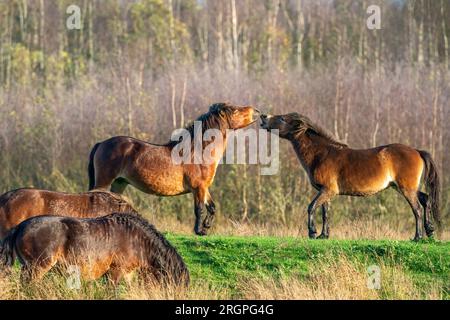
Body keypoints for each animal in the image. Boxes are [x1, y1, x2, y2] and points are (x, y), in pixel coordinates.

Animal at [0, 212, 189, 284]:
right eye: (177, 285)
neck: (136, 238)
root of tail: (20, 226)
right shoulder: (115, 272)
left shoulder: (128, 274)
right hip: (37, 267)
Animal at [88, 102, 260, 235]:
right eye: (235, 110)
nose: (257, 112)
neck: (198, 151)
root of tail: (101, 143)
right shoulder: (198, 188)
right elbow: (199, 209)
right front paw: (198, 230)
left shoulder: (204, 188)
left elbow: (211, 207)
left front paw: (205, 228)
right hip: (105, 181)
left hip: (119, 183)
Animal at [260, 112, 440, 240]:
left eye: (283, 118)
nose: (263, 117)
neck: (322, 154)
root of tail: (417, 151)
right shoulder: (325, 192)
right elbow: (325, 212)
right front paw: (323, 235)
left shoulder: (327, 190)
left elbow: (311, 207)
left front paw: (312, 232)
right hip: (402, 187)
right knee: (426, 199)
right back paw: (430, 231)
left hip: (406, 189)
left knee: (417, 208)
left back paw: (417, 237)